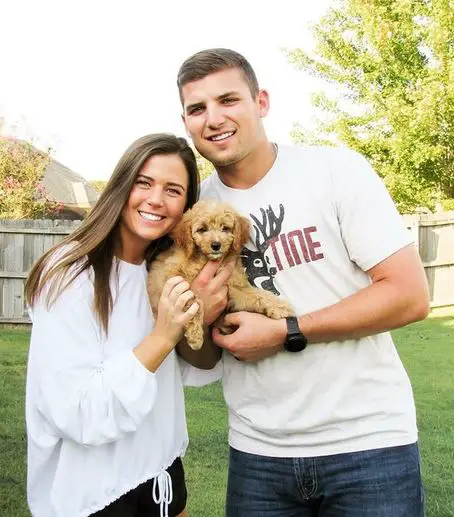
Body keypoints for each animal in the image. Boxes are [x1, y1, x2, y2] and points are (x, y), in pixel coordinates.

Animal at [147, 200, 292, 348]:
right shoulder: (173, 277)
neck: (206, 259)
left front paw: (279, 307)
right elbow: (195, 300)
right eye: (202, 229)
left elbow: (256, 294)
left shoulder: (233, 286)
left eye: (225, 228)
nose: (216, 245)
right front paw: (195, 336)